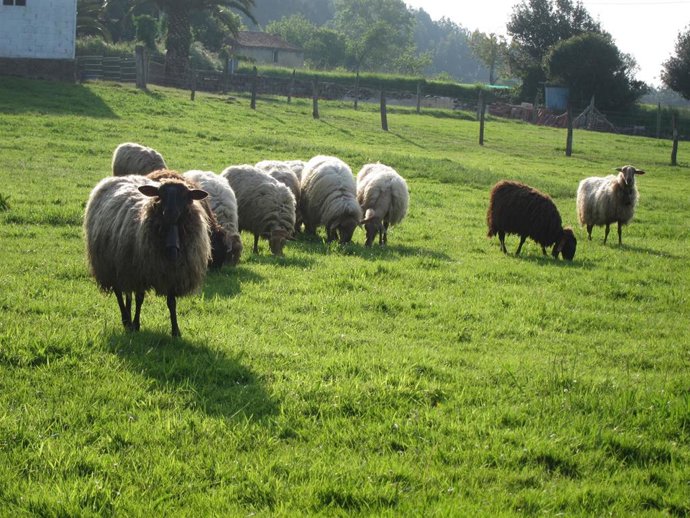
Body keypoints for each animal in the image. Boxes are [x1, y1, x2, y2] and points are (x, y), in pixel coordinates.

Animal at [84, 172, 211, 337]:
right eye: (160, 196)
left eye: (185, 197)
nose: (170, 213)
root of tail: (120, 177)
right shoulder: (140, 271)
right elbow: (139, 298)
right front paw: (136, 324)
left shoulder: (173, 274)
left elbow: (171, 303)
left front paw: (175, 331)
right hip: (110, 266)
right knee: (119, 292)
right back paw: (126, 319)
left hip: (124, 267)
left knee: (127, 293)